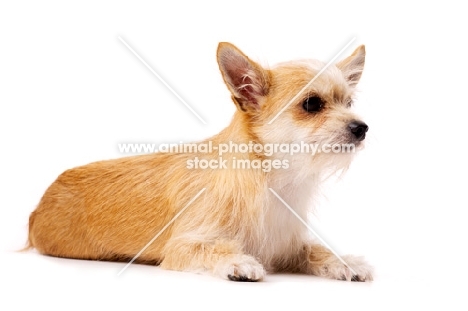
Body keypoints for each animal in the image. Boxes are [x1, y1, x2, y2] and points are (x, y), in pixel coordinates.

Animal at [28, 42, 372, 284]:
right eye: (312, 104)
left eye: (349, 103)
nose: (362, 127)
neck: (270, 179)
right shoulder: (183, 246)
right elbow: (213, 248)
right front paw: (237, 261)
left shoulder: (287, 246)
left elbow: (316, 248)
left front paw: (344, 261)